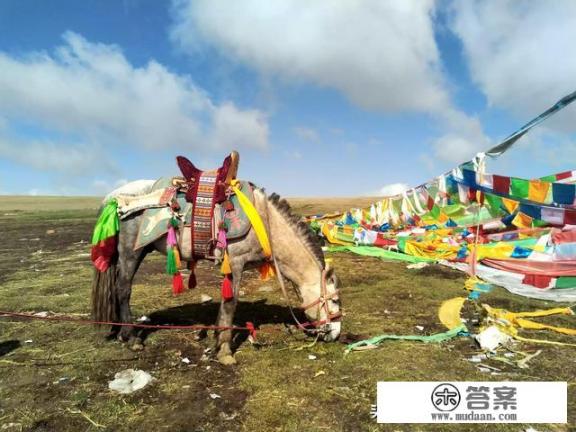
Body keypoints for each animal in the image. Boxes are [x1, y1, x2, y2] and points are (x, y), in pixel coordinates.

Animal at [91, 182, 340, 364]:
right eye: (335, 300)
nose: (336, 334)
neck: (266, 223)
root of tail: (113, 198)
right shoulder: (236, 264)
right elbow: (230, 304)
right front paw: (225, 352)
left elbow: (224, 305)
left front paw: (215, 343)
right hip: (131, 252)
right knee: (123, 289)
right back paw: (132, 338)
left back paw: (121, 333)